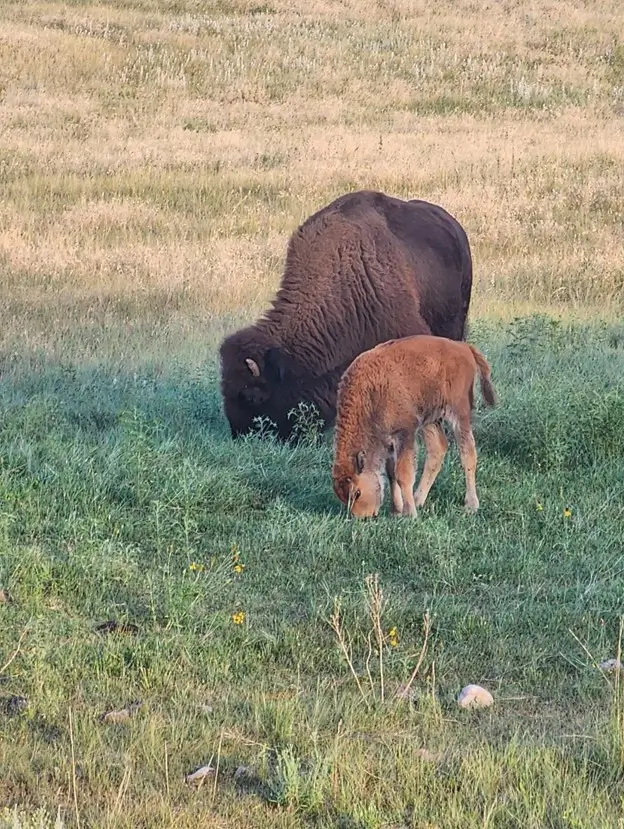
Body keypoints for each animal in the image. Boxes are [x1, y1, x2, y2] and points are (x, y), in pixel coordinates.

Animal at [332, 335, 496, 518]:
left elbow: (403, 473)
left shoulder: (405, 433)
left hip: (459, 413)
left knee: (467, 453)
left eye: (357, 493)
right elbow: (391, 473)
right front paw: (397, 511)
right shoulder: (388, 440)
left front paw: (409, 513)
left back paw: (471, 505)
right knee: (438, 449)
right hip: (431, 420)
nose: (363, 517)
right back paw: (419, 499)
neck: (370, 394)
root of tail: (464, 347)